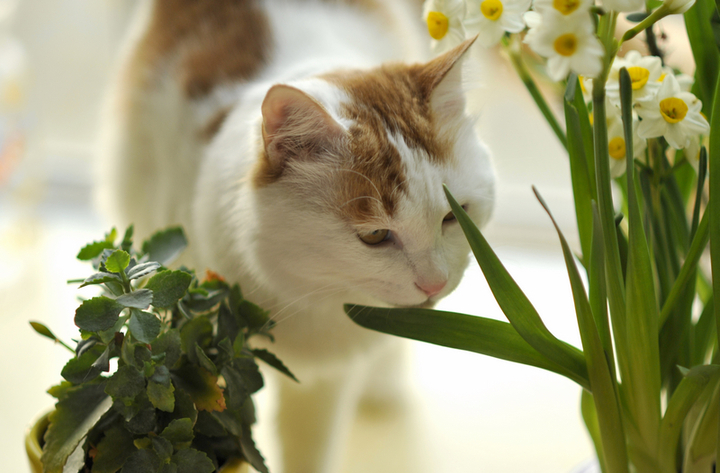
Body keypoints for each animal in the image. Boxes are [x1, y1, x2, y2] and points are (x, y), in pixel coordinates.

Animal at [98, 0, 496, 472]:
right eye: (376, 235)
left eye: (455, 217)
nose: (434, 284)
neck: (308, 298)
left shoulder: (325, 381)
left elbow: (310, 449)